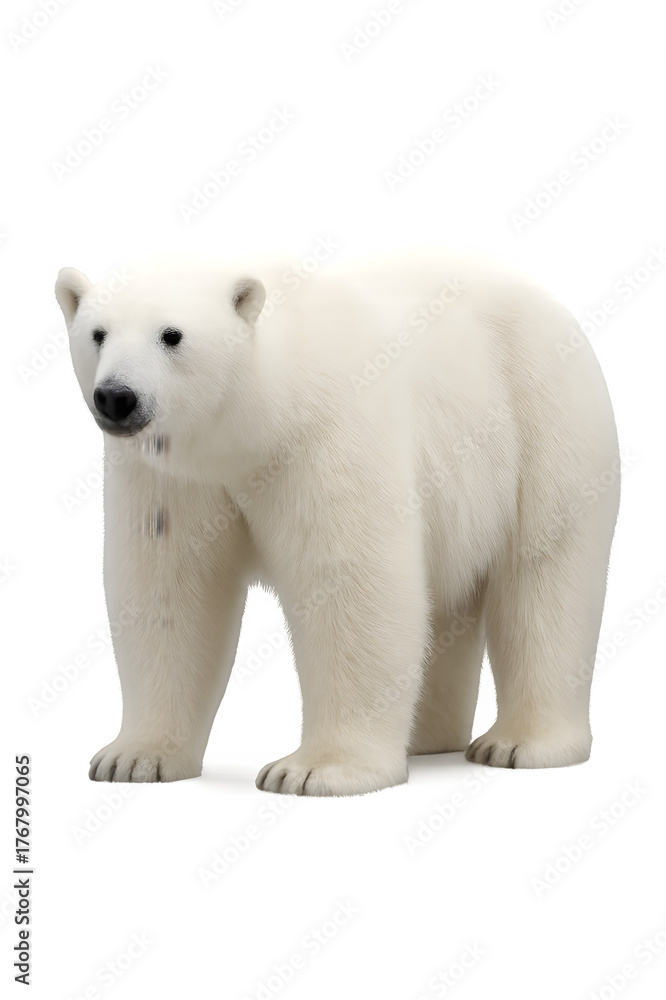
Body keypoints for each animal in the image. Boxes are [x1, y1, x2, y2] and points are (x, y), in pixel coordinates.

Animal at [55, 248, 620, 796]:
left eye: (171, 334)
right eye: (97, 333)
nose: (117, 396)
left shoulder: (326, 436)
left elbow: (350, 586)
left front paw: (312, 771)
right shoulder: (171, 476)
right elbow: (168, 591)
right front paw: (132, 758)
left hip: (544, 426)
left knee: (545, 579)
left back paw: (517, 744)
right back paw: (426, 740)